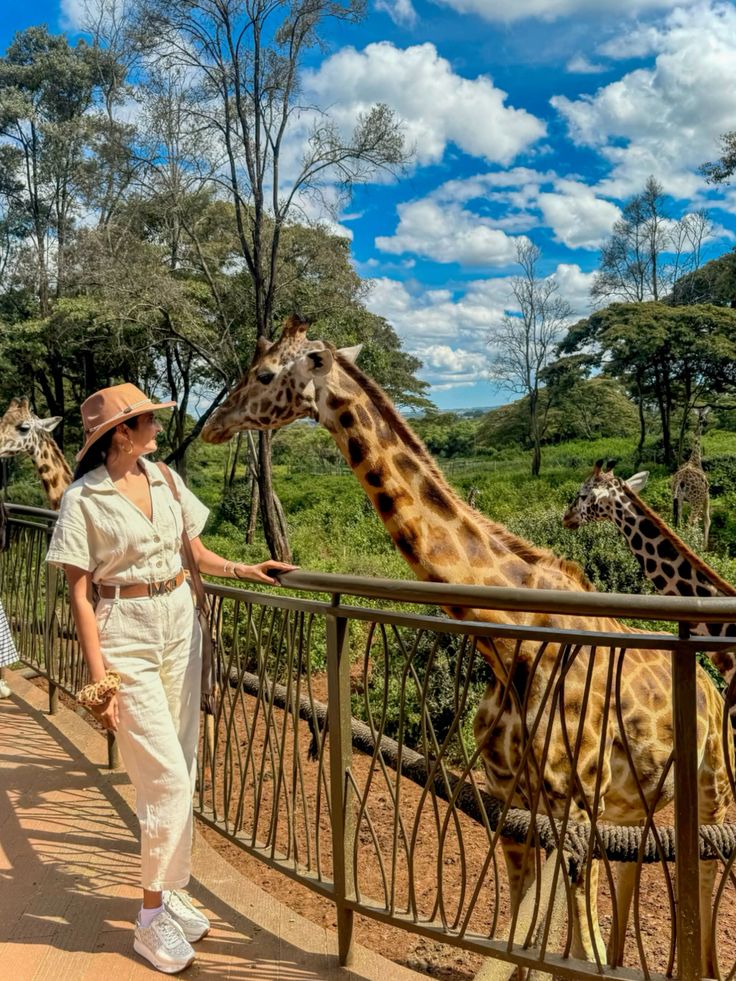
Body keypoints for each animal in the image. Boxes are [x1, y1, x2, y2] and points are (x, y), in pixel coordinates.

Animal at [672, 410, 710, 549]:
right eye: (704, 416)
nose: (706, 422)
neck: (695, 460)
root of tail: (681, 481)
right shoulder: (706, 495)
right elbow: (706, 520)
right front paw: (704, 547)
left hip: (677, 498)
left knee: (679, 520)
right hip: (696, 501)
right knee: (690, 522)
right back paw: (691, 545)